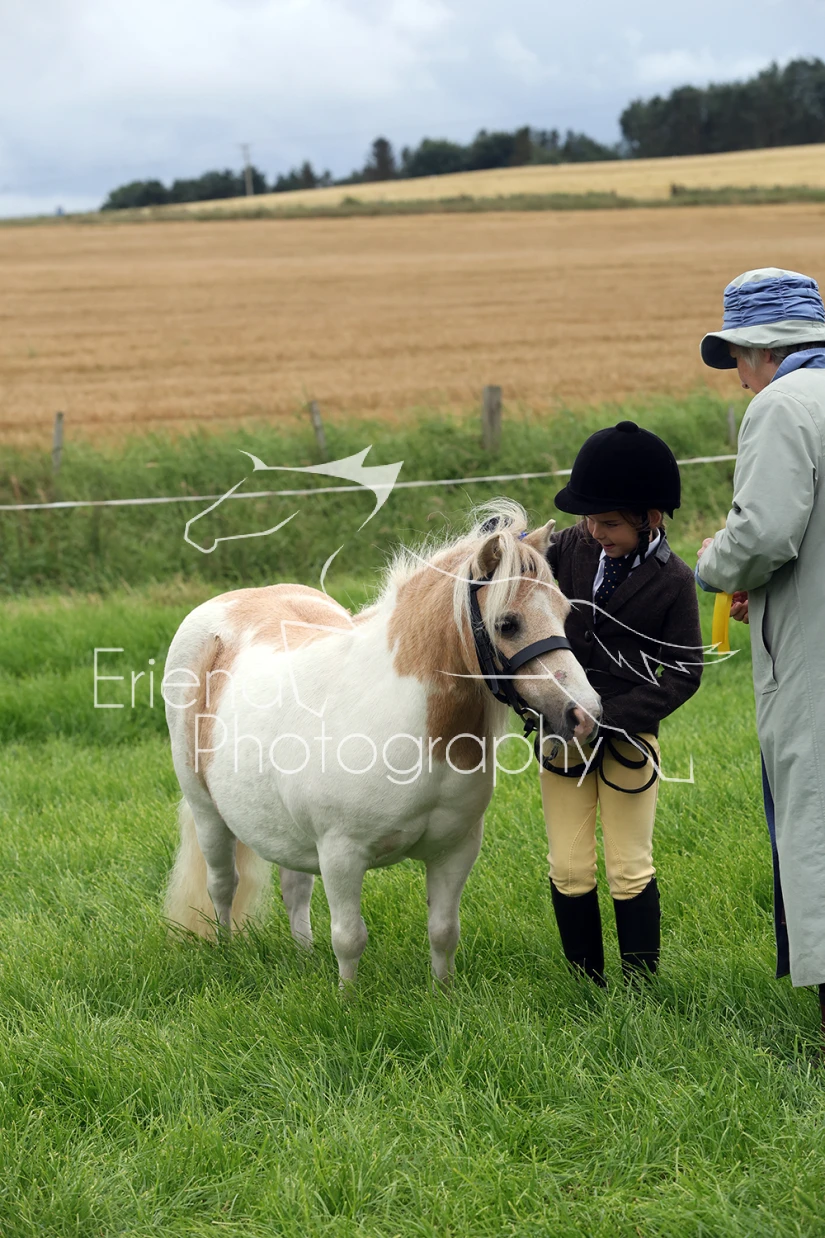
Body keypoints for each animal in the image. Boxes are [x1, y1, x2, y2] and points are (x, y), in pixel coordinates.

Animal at [162, 499, 602, 986]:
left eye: (564, 613)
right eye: (508, 623)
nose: (585, 716)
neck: (416, 730)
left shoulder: (455, 850)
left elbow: (444, 931)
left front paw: (443, 994)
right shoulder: (341, 854)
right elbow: (349, 938)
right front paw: (347, 998)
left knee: (294, 889)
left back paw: (303, 956)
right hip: (207, 812)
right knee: (222, 885)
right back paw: (226, 952)